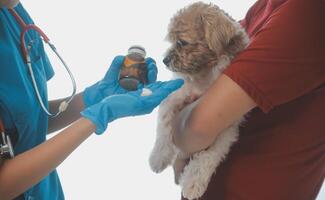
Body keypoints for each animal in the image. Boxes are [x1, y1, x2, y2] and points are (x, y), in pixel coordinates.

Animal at [149, 1, 248, 200]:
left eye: (182, 42)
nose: (164, 60)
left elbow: (211, 155)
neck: (205, 73)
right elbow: (164, 127)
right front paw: (158, 158)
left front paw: (193, 182)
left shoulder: (228, 127)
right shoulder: (174, 98)